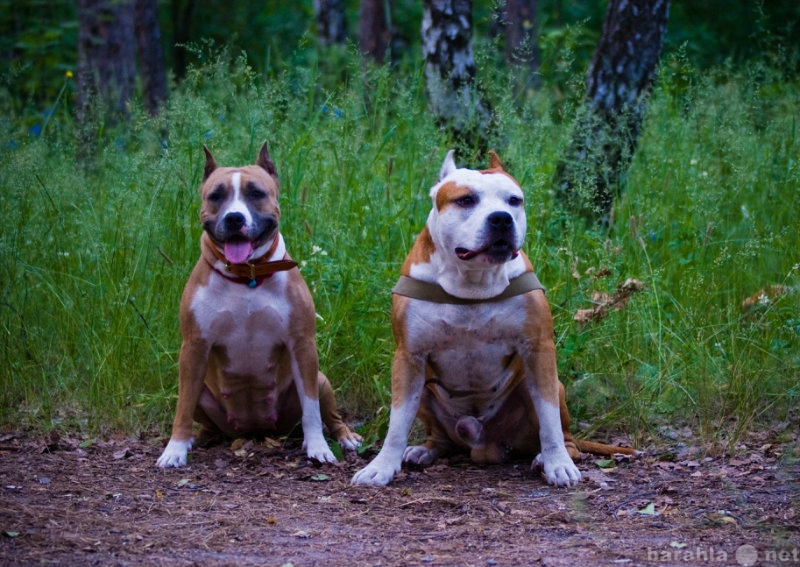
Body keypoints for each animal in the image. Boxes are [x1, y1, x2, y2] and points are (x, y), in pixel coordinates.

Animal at [155, 143, 360, 470]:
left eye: (256, 193)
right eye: (216, 196)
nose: (234, 219)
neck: (246, 276)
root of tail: (255, 430)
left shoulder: (303, 345)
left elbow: (312, 409)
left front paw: (318, 447)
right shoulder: (193, 347)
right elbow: (182, 406)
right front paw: (175, 448)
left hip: (322, 380)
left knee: (328, 413)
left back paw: (345, 437)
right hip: (201, 387)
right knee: (203, 418)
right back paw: (194, 439)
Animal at [350, 150, 632, 488]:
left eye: (514, 200)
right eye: (465, 200)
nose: (501, 218)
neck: (473, 281)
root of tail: (485, 442)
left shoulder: (539, 349)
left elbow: (549, 418)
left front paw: (558, 463)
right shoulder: (408, 357)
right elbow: (397, 422)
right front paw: (381, 466)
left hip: (547, 387)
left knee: (565, 436)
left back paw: (548, 456)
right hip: (426, 391)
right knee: (440, 437)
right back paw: (425, 450)